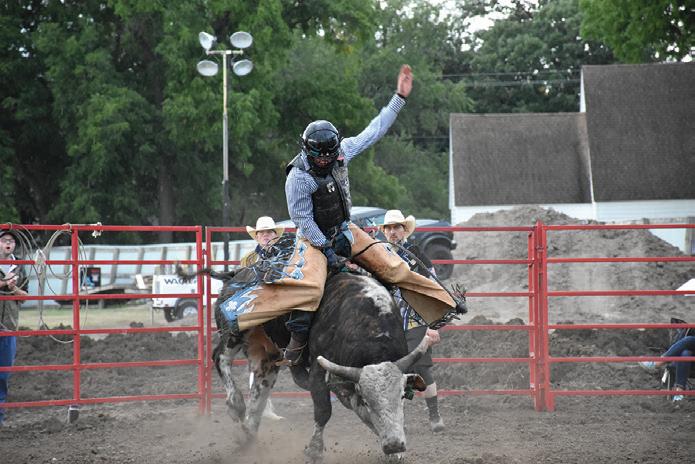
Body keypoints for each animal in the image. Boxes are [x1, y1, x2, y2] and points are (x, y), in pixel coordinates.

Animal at [209, 270, 434, 463]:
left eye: (402, 396)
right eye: (367, 399)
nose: (395, 444)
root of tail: (235, 274)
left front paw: (395, 452)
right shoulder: (320, 370)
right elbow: (324, 410)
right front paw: (314, 450)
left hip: (268, 355)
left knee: (260, 391)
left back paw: (248, 436)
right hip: (235, 330)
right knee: (221, 358)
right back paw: (235, 405)